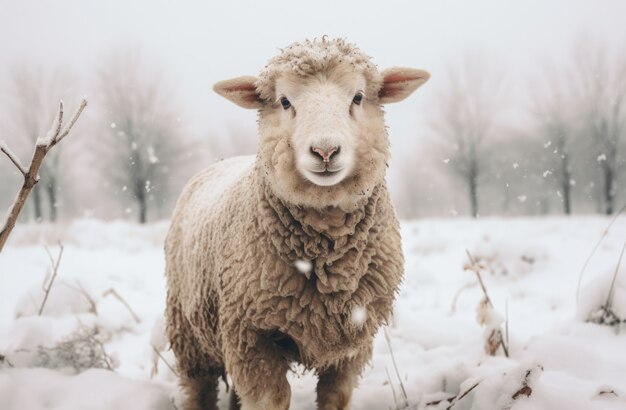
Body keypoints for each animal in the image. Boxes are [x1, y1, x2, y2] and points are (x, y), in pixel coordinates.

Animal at [165, 38, 428, 410]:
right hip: (188, 330)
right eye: (285, 101)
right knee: (199, 387)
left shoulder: (353, 340)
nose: (325, 151)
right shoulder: (251, 337)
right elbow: (271, 400)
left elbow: (335, 398)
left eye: (358, 97)